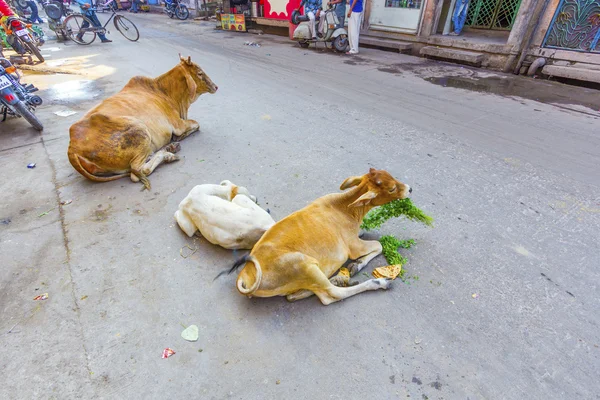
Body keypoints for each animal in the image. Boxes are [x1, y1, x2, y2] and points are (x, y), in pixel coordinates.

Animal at [68, 55, 218, 191]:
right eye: (200, 73)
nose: (216, 86)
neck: (165, 92)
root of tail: (72, 147)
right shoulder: (178, 125)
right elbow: (196, 124)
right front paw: (178, 137)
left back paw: (169, 148)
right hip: (139, 129)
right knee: (138, 172)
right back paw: (169, 154)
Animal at [225, 169, 412, 306]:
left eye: (390, 175)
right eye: (391, 188)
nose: (409, 188)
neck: (345, 208)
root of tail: (245, 275)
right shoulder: (354, 246)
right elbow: (378, 245)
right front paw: (357, 265)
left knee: (296, 295)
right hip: (307, 266)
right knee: (330, 295)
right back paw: (377, 283)